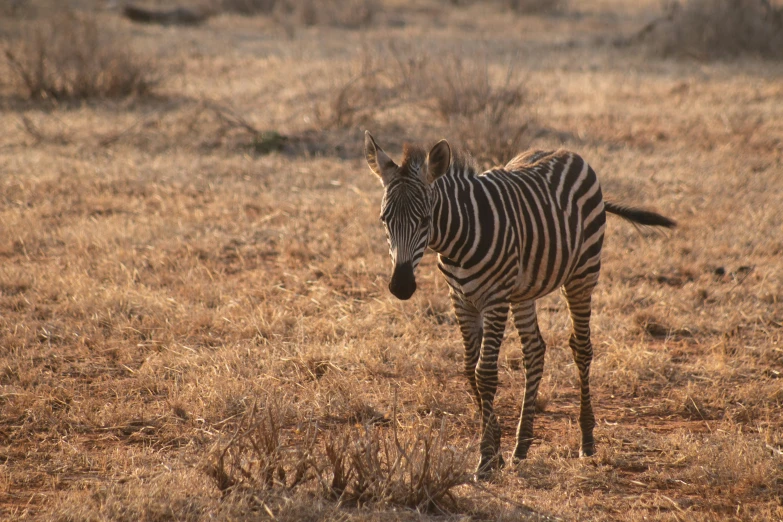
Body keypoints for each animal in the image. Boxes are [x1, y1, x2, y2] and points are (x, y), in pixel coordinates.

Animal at [362, 131, 672, 476]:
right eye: (384, 219)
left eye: (426, 219)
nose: (401, 287)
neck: (457, 239)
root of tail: (567, 152)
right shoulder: (461, 300)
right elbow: (469, 368)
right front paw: (496, 449)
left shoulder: (495, 299)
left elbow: (485, 373)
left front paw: (486, 458)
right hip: (524, 291)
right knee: (535, 350)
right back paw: (522, 446)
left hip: (582, 274)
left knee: (581, 347)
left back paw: (587, 440)